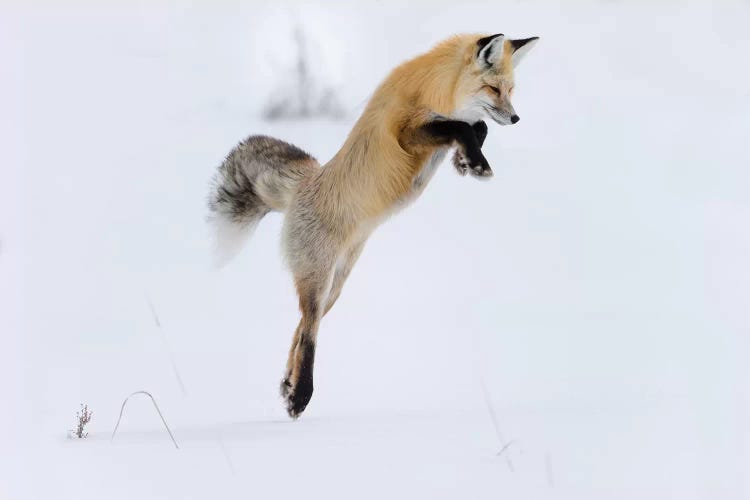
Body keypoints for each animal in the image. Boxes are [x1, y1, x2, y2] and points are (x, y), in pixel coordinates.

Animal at [209, 32, 540, 418]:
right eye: (493, 88)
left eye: (511, 90)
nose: (516, 118)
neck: (438, 87)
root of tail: (303, 183)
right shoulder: (406, 133)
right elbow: (460, 125)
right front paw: (475, 161)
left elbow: (476, 126)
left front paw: (466, 161)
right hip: (319, 280)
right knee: (309, 333)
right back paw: (301, 395)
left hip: (336, 284)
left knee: (302, 328)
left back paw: (288, 388)